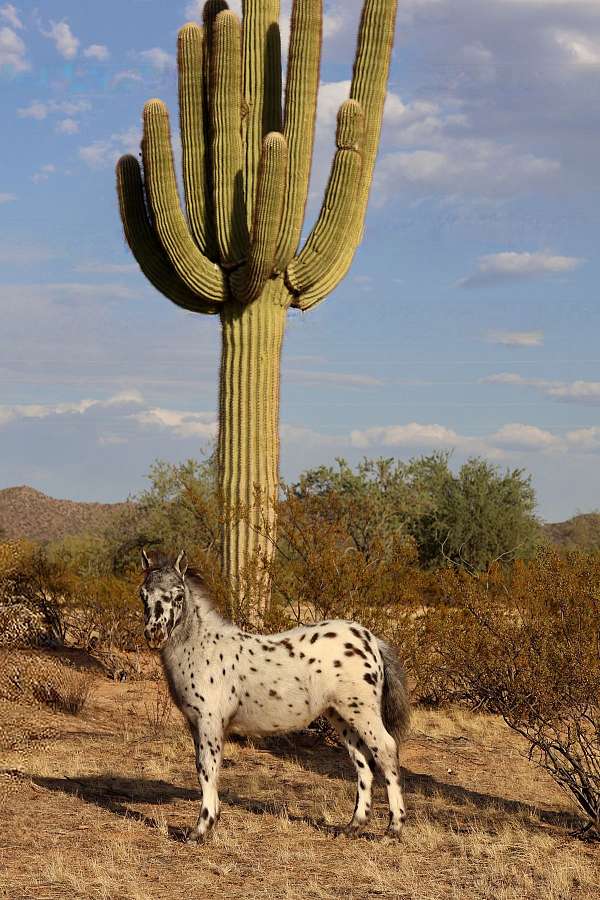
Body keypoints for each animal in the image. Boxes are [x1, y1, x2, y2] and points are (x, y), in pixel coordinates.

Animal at [142, 548, 412, 844]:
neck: (203, 648)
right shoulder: (194, 723)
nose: (154, 634)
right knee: (362, 761)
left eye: (179, 595)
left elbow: (207, 769)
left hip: (362, 711)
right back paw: (353, 825)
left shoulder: (209, 722)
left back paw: (394, 828)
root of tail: (370, 639)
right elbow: (202, 768)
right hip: (341, 715)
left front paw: (201, 828)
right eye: (143, 594)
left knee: (386, 751)